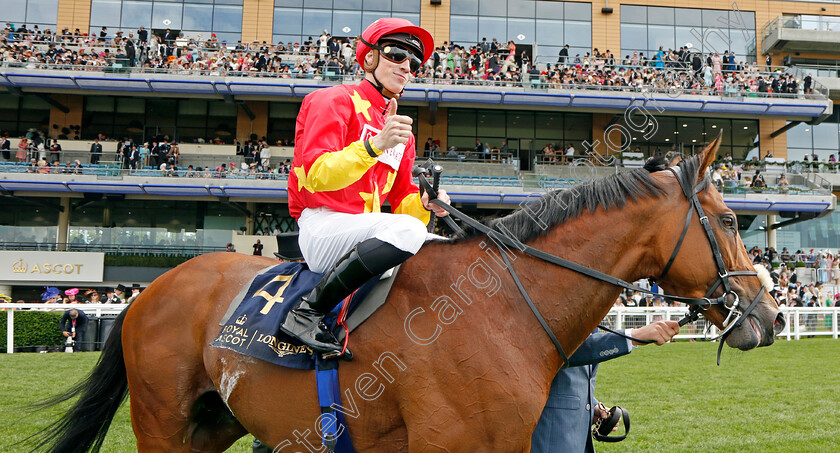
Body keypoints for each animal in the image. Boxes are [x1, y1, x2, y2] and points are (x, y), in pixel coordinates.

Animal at [32, 136, 780, 450]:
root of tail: (150, 289)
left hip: (214, 425)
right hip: (163, 425)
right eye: (730, 220)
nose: (770, 316)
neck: (503, 306)